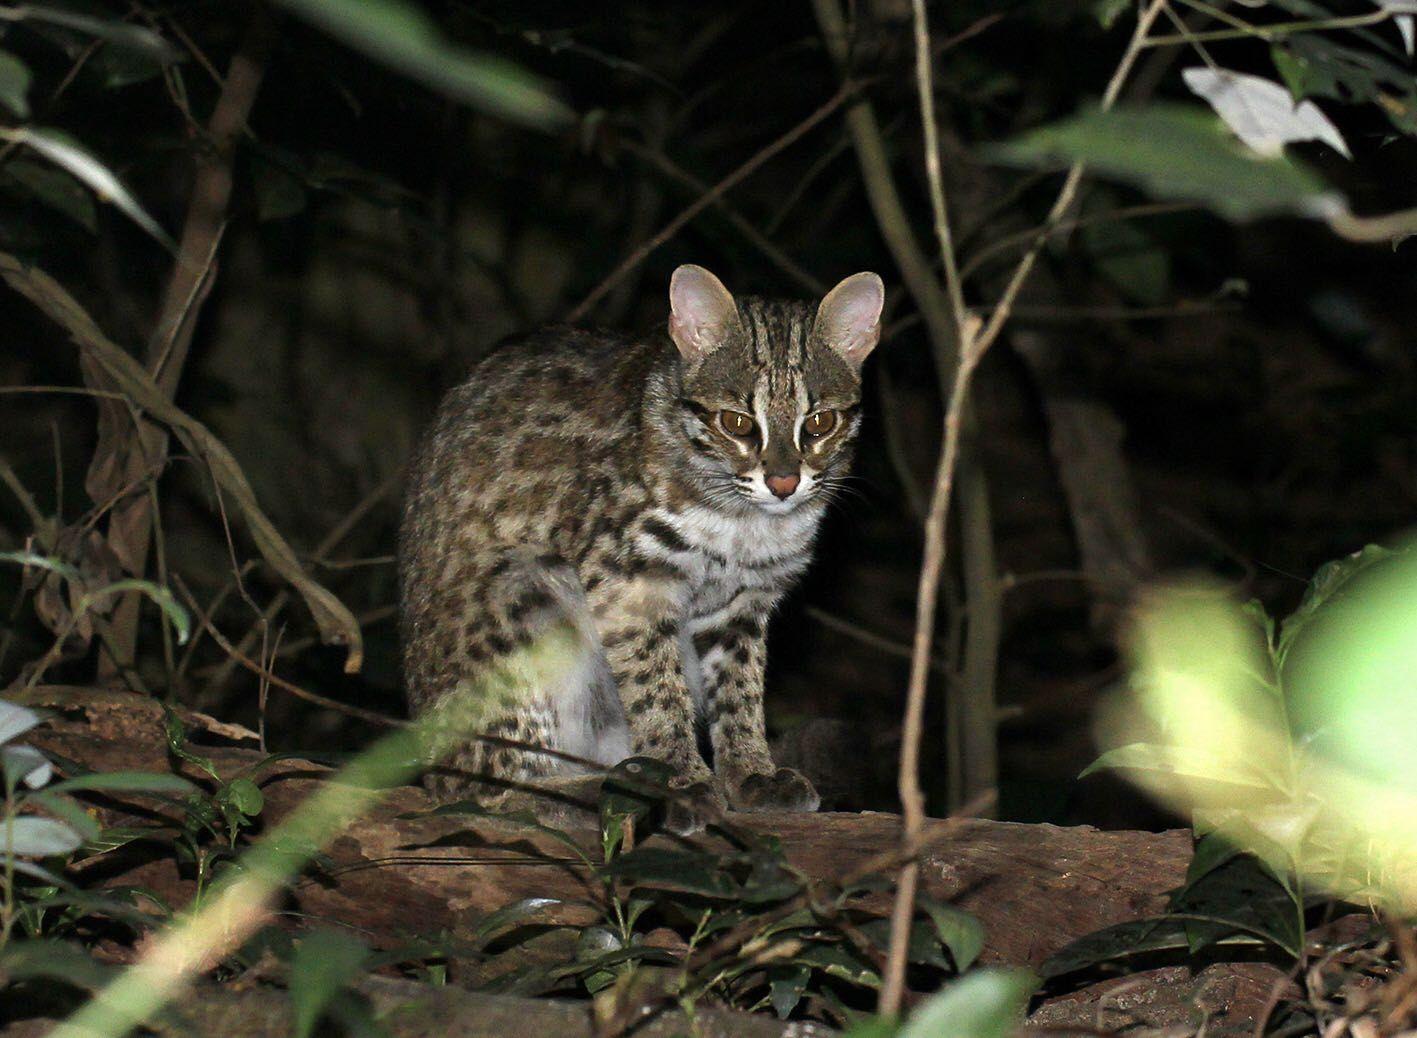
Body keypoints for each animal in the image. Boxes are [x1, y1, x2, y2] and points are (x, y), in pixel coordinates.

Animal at [399, 267, 878, 832]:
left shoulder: (744, 601)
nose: (783, 483)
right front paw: (681, 782)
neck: (747, 522)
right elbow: (656, 687)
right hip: (526, 592)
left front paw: (749, 772)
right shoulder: (629, 581)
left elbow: (739, 689)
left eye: (820, 423)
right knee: (482, 789)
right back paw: (589, 788)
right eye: (737, 423)